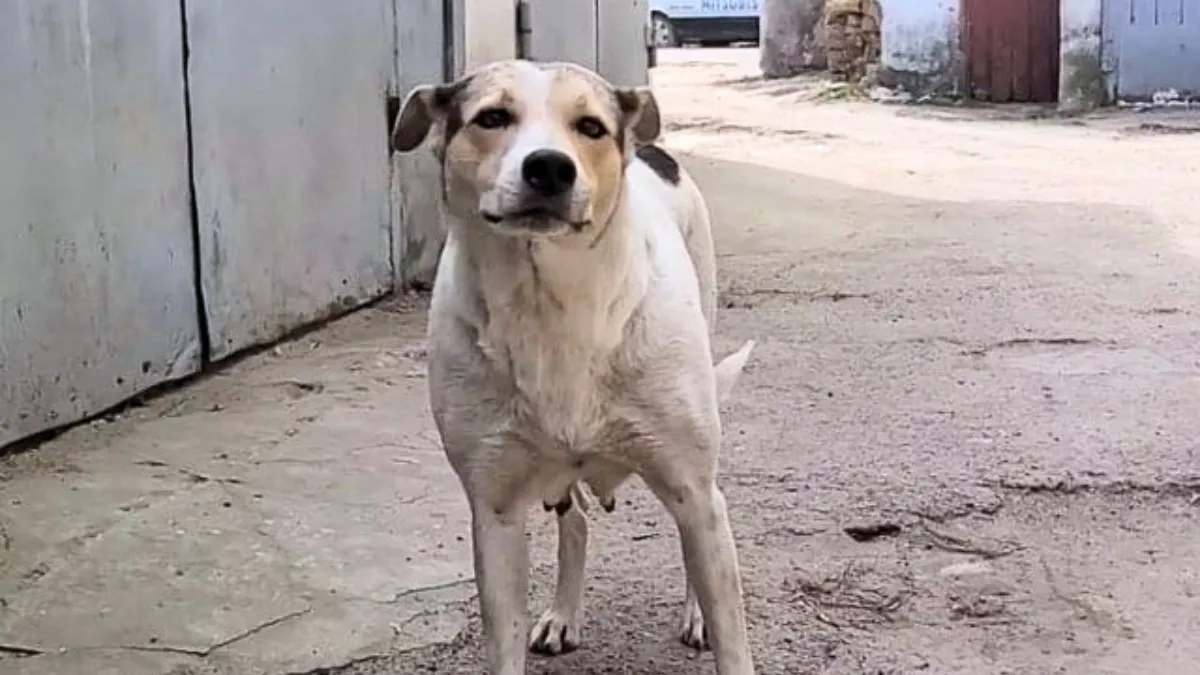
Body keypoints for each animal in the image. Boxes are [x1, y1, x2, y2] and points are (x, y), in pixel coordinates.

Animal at [391, 59, 748, 672]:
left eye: (591, 127)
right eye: (492, 117)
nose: (550, 167)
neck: (551, 304)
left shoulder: (694, 490)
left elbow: (729, 625)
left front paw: (708, 617)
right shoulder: (495, 512)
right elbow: (503, 638)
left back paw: (695, 612)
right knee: (575, 520)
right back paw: (563, 615)